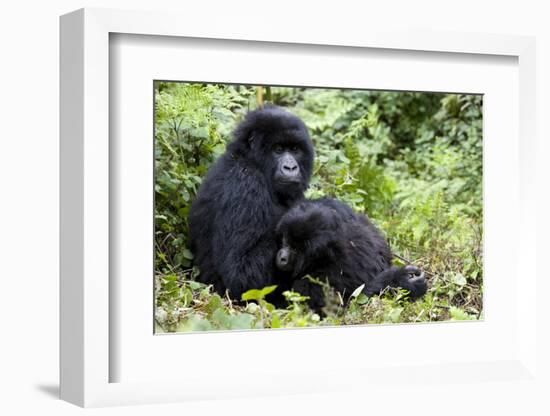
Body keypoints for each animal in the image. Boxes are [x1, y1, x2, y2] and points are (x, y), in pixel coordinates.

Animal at [190, 104, 314, 300]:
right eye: (278, 149)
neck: (250, 160)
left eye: (295, 149)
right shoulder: (245, 183)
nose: (291, 167)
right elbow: (242, 274)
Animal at [278, 198, 430, 312]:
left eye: (296, 249)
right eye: (287, 241)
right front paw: (401, 281)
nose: (282, 257)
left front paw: (399, 282)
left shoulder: (315, 282)